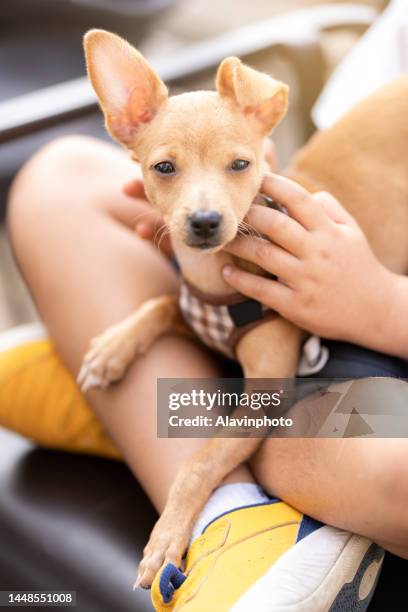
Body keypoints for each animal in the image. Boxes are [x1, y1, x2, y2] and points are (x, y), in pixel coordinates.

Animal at [79, 28, 408, 588]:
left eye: (241, 165)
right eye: (163, 168)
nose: (206, 221)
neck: (216, 276)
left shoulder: (264, 399)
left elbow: (200, 461)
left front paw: (167, 536)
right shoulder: (195, 309)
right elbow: (163, 302)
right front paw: (114, 346)